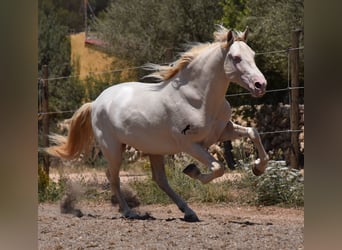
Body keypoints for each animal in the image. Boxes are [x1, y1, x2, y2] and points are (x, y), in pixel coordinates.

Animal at [46, 26, 270, 222]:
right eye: (236, 58)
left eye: (253, 54)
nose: (261, 85)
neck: (198, 99)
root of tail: (95, 102)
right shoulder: (190, 145)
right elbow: (218, 168)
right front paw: (193, 171)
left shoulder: (223, 132)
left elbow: (253, 132)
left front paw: (258, 168)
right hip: (113, 149)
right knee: (113, 177)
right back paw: (129, 212)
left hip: (154, 150)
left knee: (159, 180)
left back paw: (188, 212)